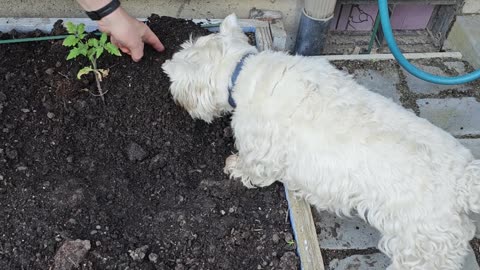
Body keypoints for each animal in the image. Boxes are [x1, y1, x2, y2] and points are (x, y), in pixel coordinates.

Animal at [163, 15, 480, 270]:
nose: (177, 101)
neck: (242, 72)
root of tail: (463, 181)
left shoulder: (261, 149)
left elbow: (252, 167)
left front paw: (234, 166)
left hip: (422, 244)